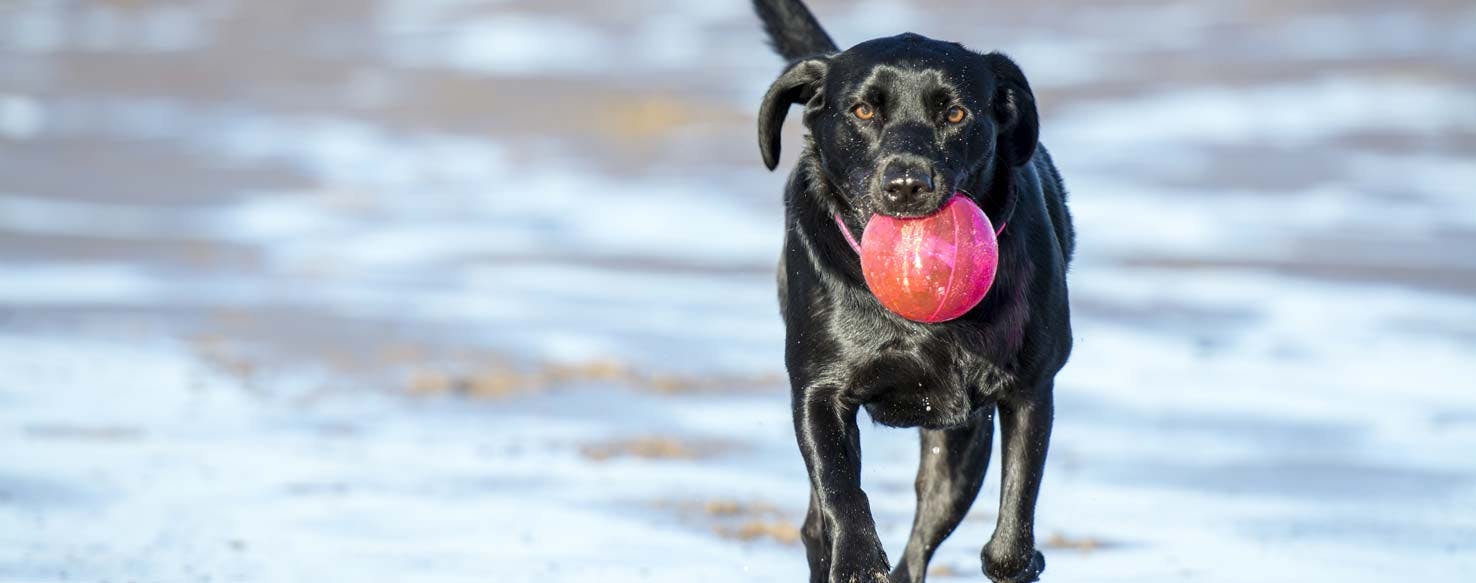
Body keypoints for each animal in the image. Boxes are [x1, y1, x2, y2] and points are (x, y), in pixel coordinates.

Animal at [755, 2, 1080, 581]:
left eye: (955, 115)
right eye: (863, 111)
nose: (907, 184)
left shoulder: (1030, 388)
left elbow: (1013, 531)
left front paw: (1020, 559)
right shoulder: (818, 392)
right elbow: (841, 492)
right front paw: (858, 559)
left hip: (960, 448)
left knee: (919, 544)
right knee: (819, 524)